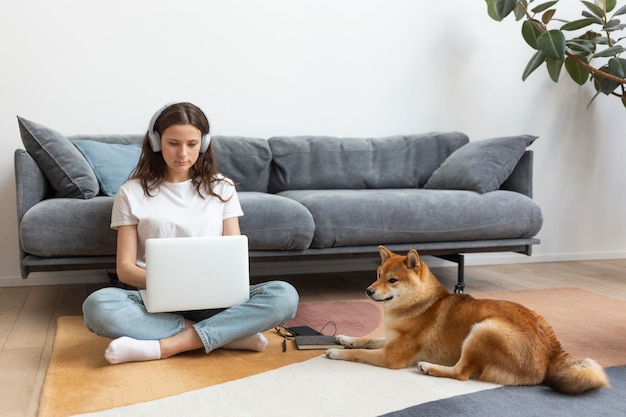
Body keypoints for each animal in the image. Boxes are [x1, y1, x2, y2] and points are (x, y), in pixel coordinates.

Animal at [324, 247, 608, 394]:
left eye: (392, 280)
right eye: (378, 275)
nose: (368, 291)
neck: (419, 305)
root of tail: (551, 353)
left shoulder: (392, 356)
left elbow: (360, 353)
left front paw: (338, 352)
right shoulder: (391, 338)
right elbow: (369, 339)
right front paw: (346, 338)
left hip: (483, 330)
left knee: (461, 373)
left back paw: (430, 367)